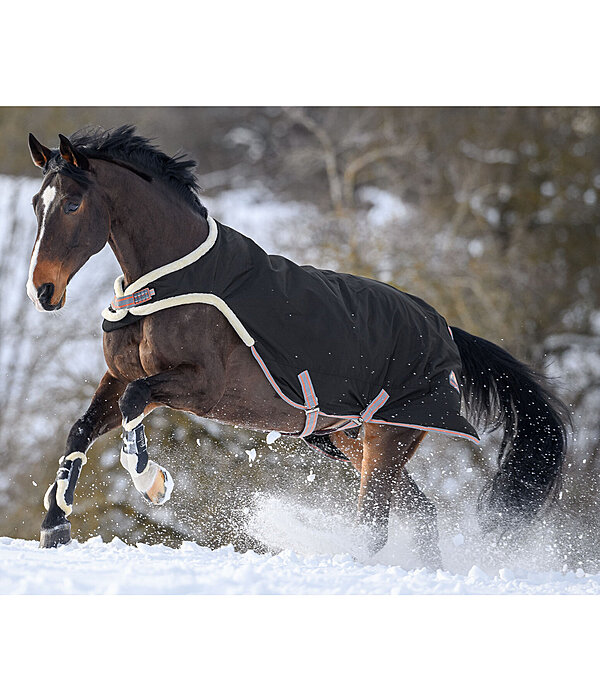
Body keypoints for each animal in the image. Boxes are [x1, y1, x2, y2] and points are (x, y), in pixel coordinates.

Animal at [25, 123, 568, 568]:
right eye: (36, 204)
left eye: (72, 204)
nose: (42, 291)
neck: (165, 286)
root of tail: (447, 330)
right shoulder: (120, 377)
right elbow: (81, 430)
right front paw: (55, 524)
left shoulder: (201, 388)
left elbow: (136, 405)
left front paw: (152, 482)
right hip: (351, 440)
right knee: (421, 513)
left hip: (388, 436)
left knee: (375, 523)